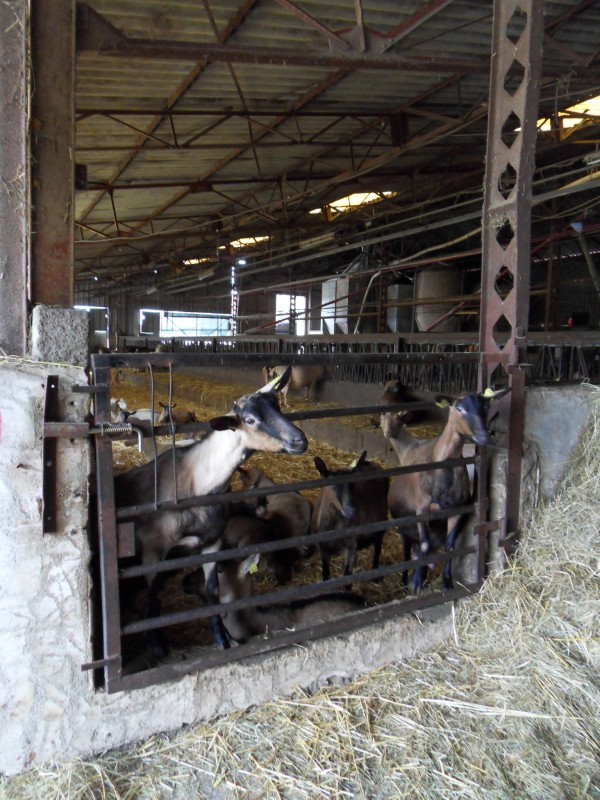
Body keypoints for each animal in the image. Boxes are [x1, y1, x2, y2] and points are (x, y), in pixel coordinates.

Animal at [113, 367, 308, 656]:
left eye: (278, 407)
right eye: (250, 419)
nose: (300, 440)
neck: (199, 483)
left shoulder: (212, 542)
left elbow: (212, 589)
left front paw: (222, 637)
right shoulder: (153, 549)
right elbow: (153, 593)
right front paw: (157, 645)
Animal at [311, 450, 389, 583]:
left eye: (353, 484)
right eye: (332, 485)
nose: (350, 510)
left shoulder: (350, 546)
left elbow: (347, 577)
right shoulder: (323, 547)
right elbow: (325, 573)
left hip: (381, 522)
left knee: (378, 547)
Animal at [385, 390, 506, 594]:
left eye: (486, 406)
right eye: (459, 408)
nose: (484, 437)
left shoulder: (456, 510)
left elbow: (450, 546)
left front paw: (447, 583)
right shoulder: (422, 509)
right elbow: (425, 545)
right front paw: (416, 583)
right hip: (404, 528)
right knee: (409, 550)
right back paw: (406, 581)